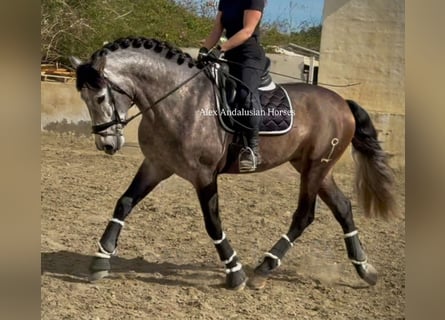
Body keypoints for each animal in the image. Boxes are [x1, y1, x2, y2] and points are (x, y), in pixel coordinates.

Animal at [71, 37, 398, 290]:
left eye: (100, 97)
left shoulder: (203, 174)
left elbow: (213, 222)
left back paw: (263, 269)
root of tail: (342, 102)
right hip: (314, 167)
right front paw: (101, 259)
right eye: (83, 99)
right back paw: (364, 269)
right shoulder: (156, 165)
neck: (179, 100)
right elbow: (124, 203)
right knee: (343, 208)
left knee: (304, 216)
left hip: (316, 168)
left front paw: (235, 272)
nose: (107, 145)